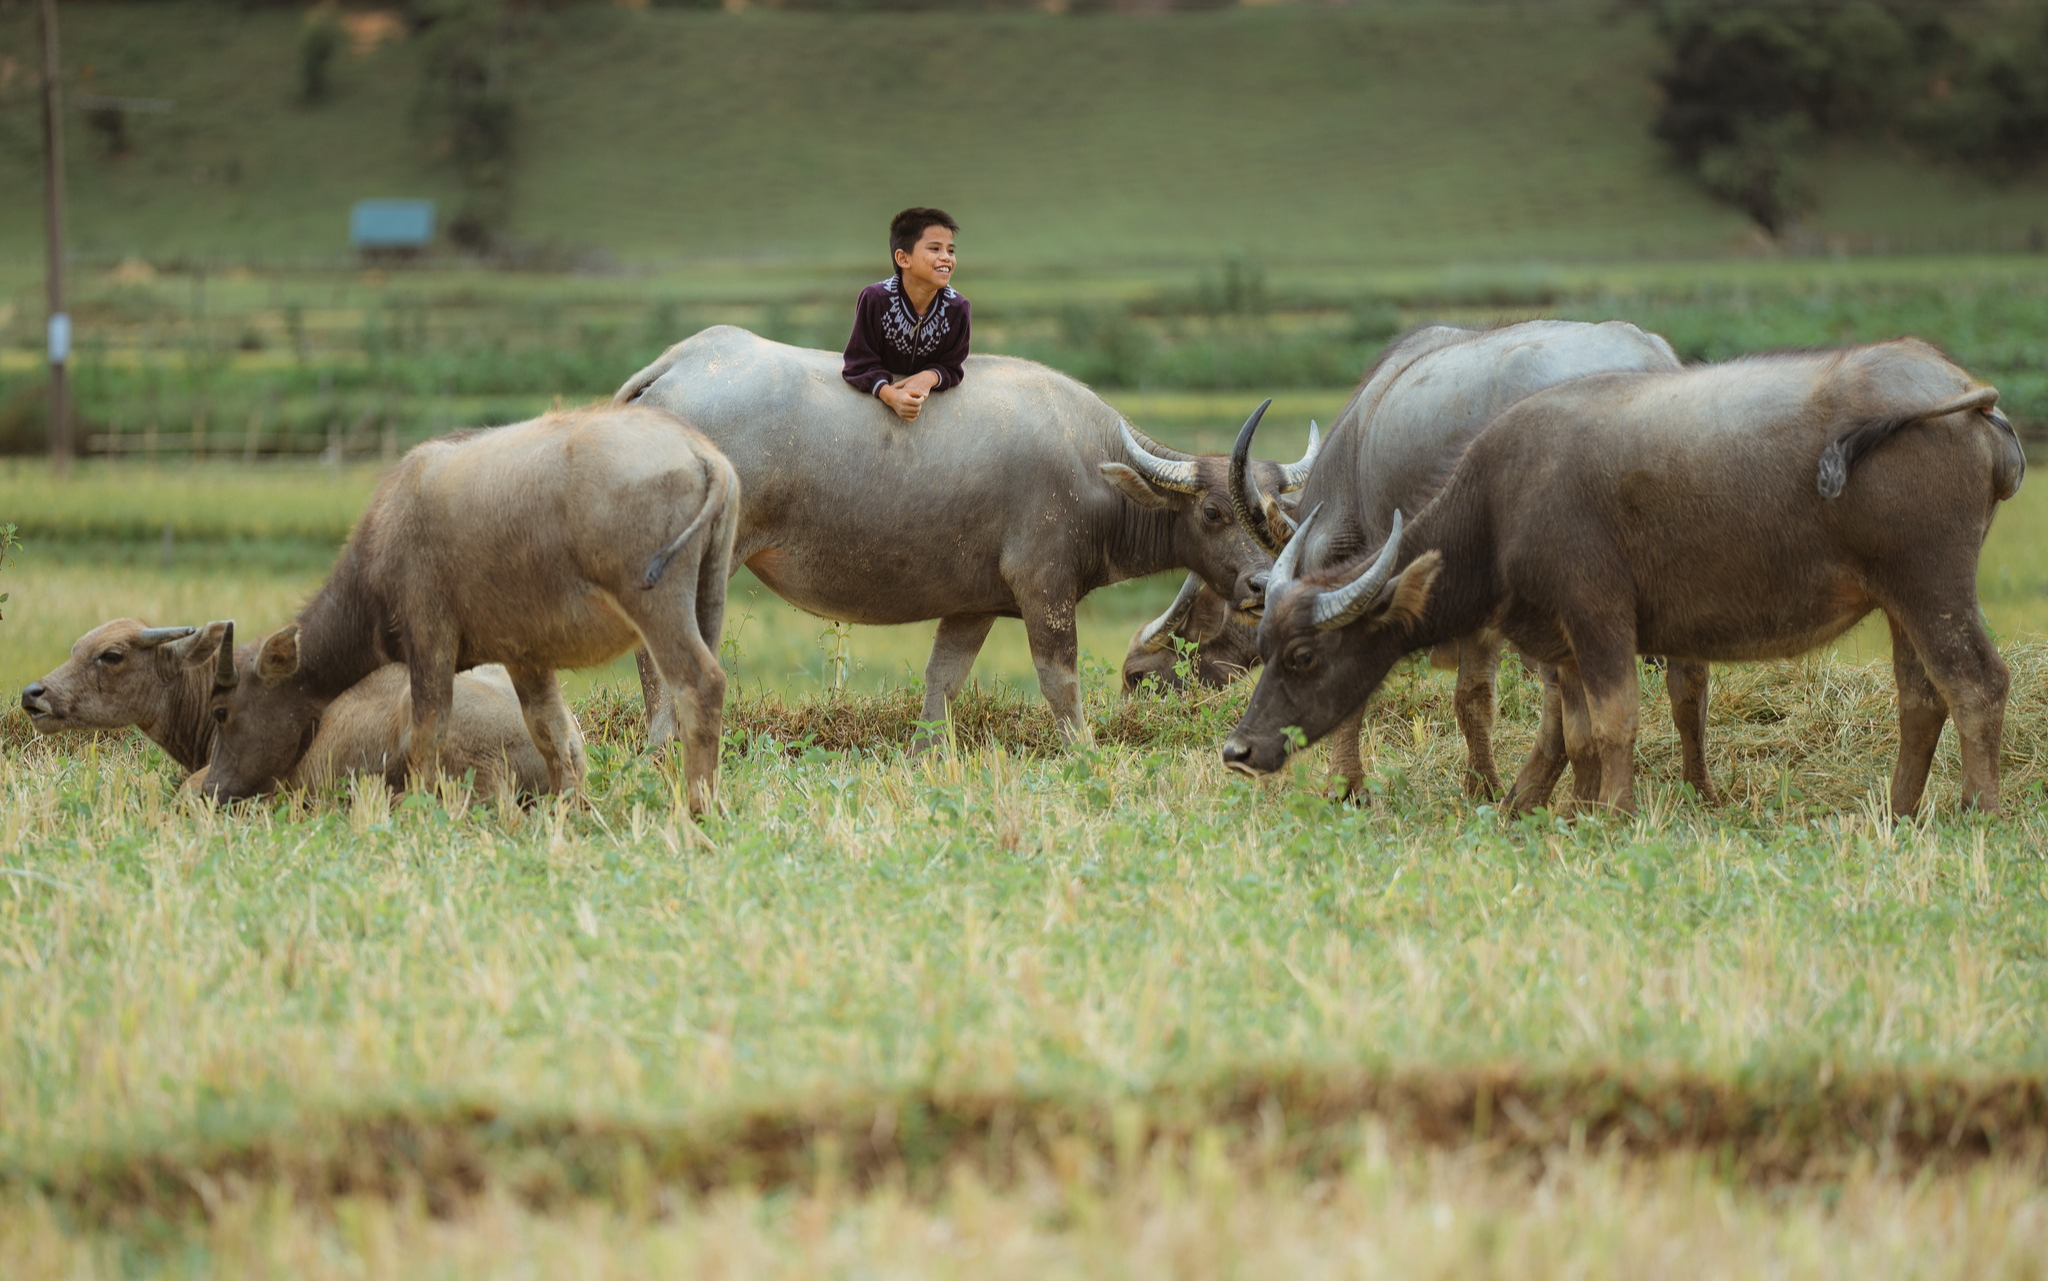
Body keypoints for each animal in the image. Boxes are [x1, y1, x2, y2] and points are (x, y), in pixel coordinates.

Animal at [199, 403, 741, 815]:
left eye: (222, 711)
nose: (209, 790)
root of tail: (699, 453)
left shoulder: (428, 637)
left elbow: (428, 733)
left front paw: (419, 812)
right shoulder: (525, 658)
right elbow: (552, 732)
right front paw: (570, 810)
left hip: (657, 605)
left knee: (700, 684)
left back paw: (699, 809)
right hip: (708, 596)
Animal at [614, 329, 1310, 746]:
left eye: (1274, 512)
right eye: (1213, 512)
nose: (1260, 584)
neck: (1093, 468)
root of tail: (679, 365)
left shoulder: (974, 605)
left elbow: (942, 681)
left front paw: (926, 752)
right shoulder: (1044, 587)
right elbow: (1059, 681)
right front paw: (1085, 751)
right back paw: (666, 741)